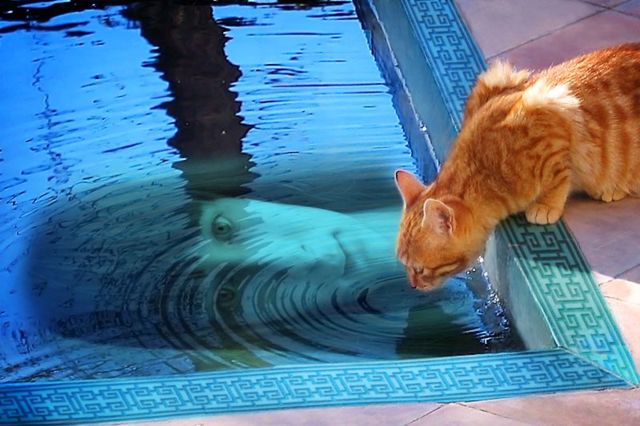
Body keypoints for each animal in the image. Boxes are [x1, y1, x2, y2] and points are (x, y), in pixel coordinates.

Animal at [395, 43, 640, 291]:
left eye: (420, 269)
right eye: (404, 265)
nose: (412, 285)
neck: (486, 170)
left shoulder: (554, 113)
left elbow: (558, 178)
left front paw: (547, 204)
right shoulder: (496, 79)